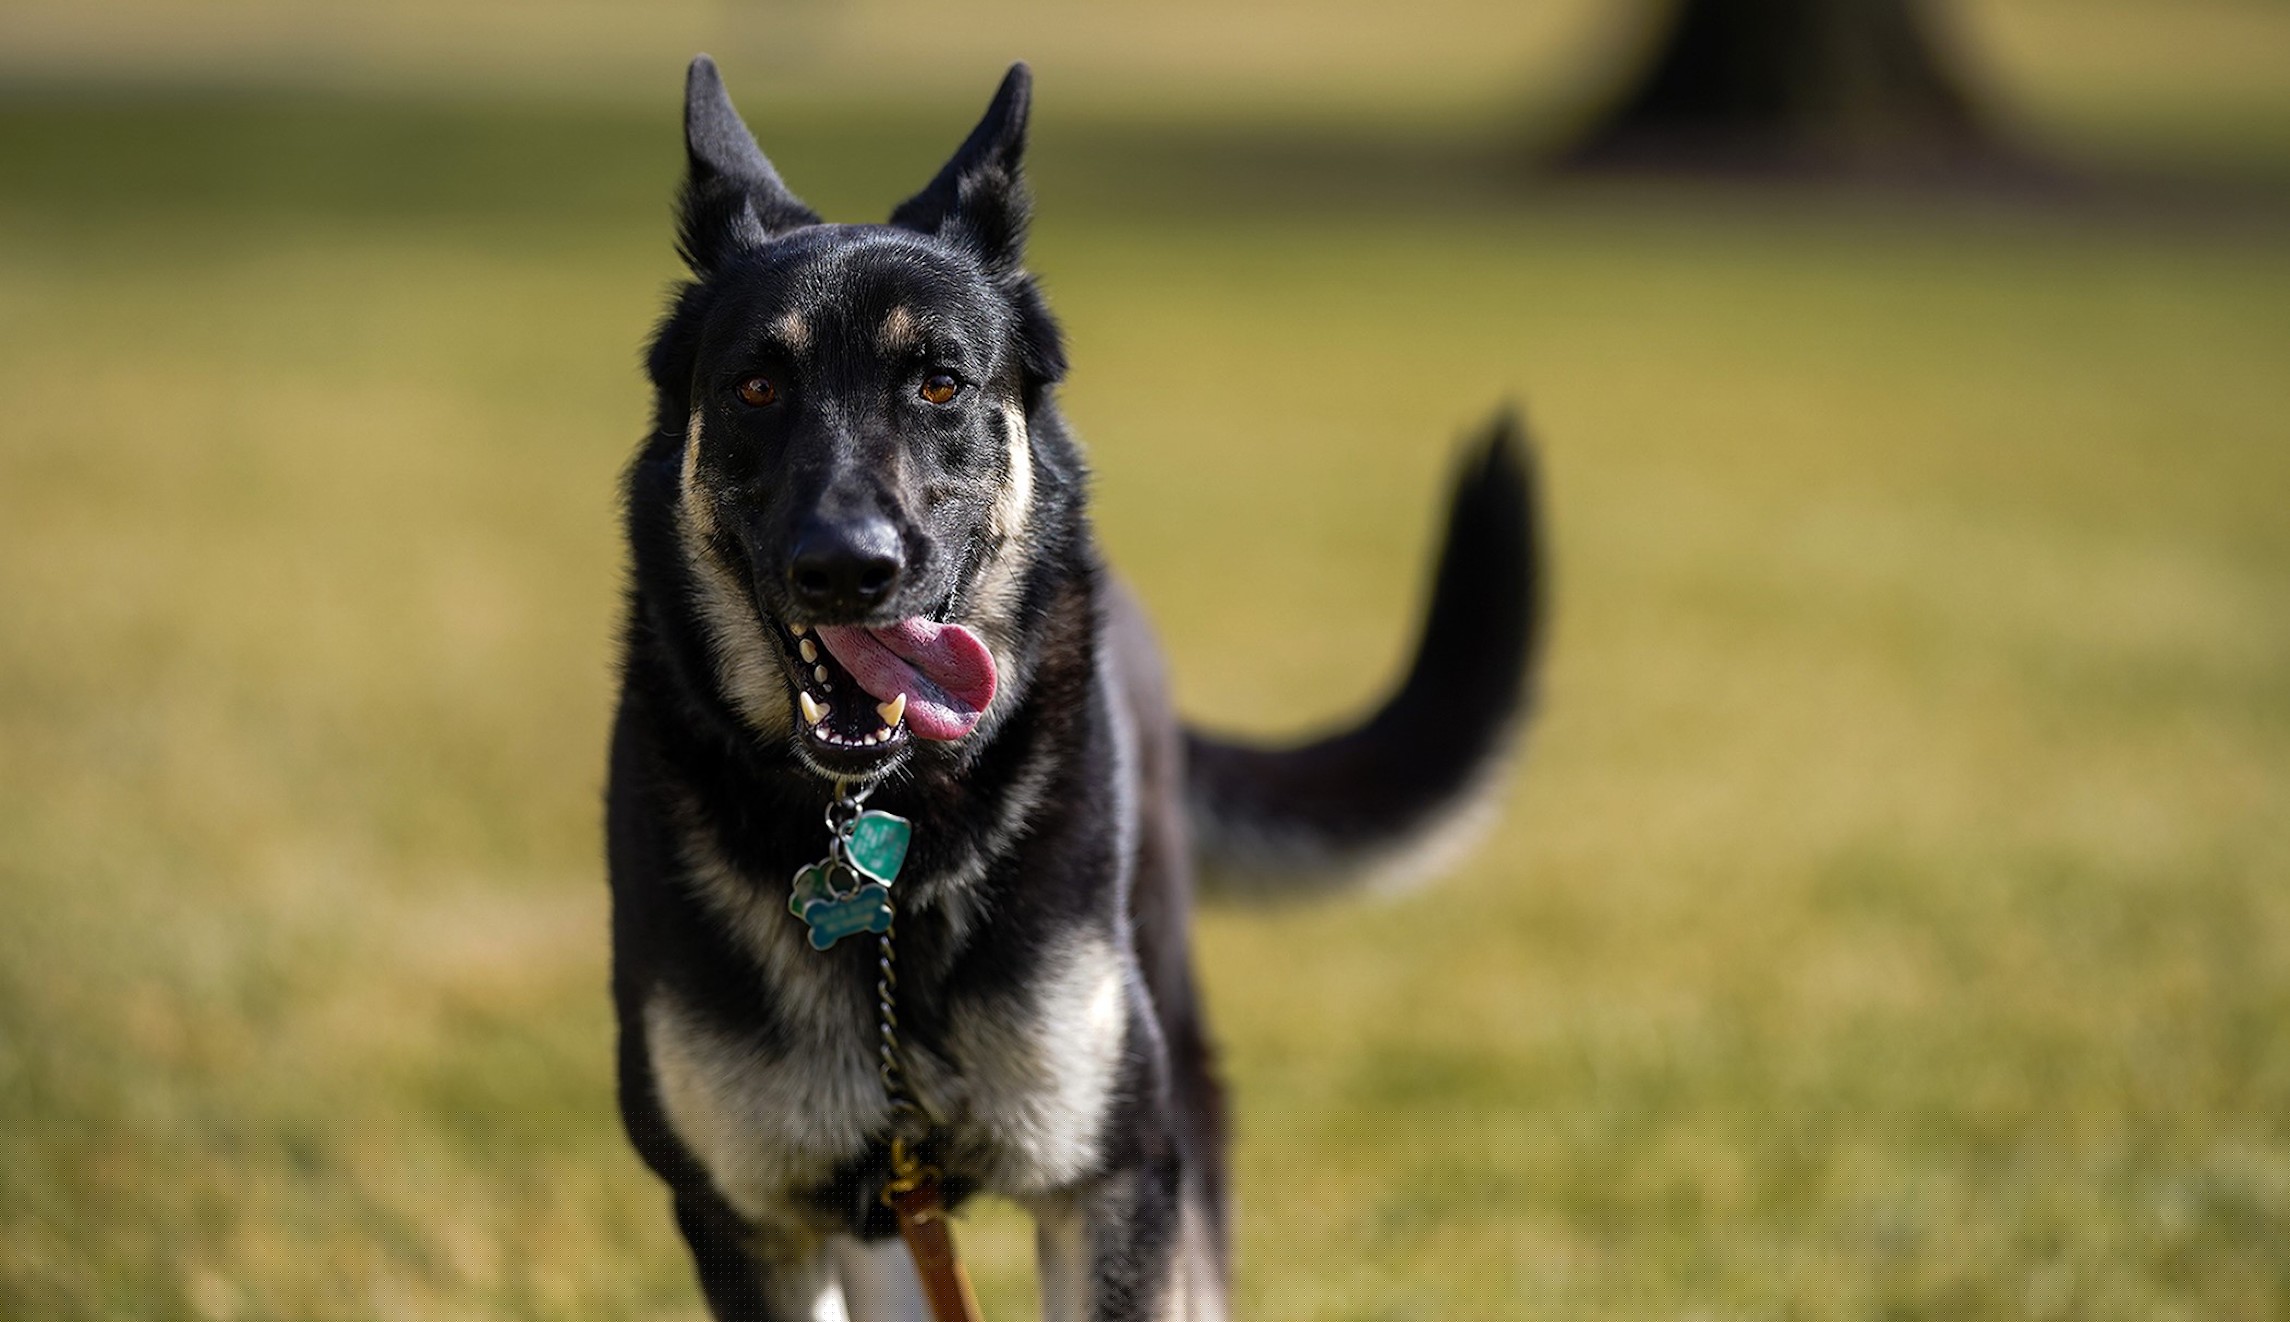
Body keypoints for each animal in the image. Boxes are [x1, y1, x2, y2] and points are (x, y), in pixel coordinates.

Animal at [607, 55, 1543, 1321]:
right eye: (755, 387)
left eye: (940, 384)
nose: (846, 566)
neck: (889, 845)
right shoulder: (750, 1219)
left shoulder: (1113, 1180)